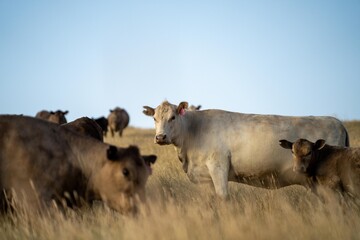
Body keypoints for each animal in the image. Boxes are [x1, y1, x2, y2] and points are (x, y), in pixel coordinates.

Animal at [143, 101, 348, 199]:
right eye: (154, 118)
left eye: (173, 117)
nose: (160, 137)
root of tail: (338, 123)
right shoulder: (203, 177)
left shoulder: (218, 165)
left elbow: (223, 197)